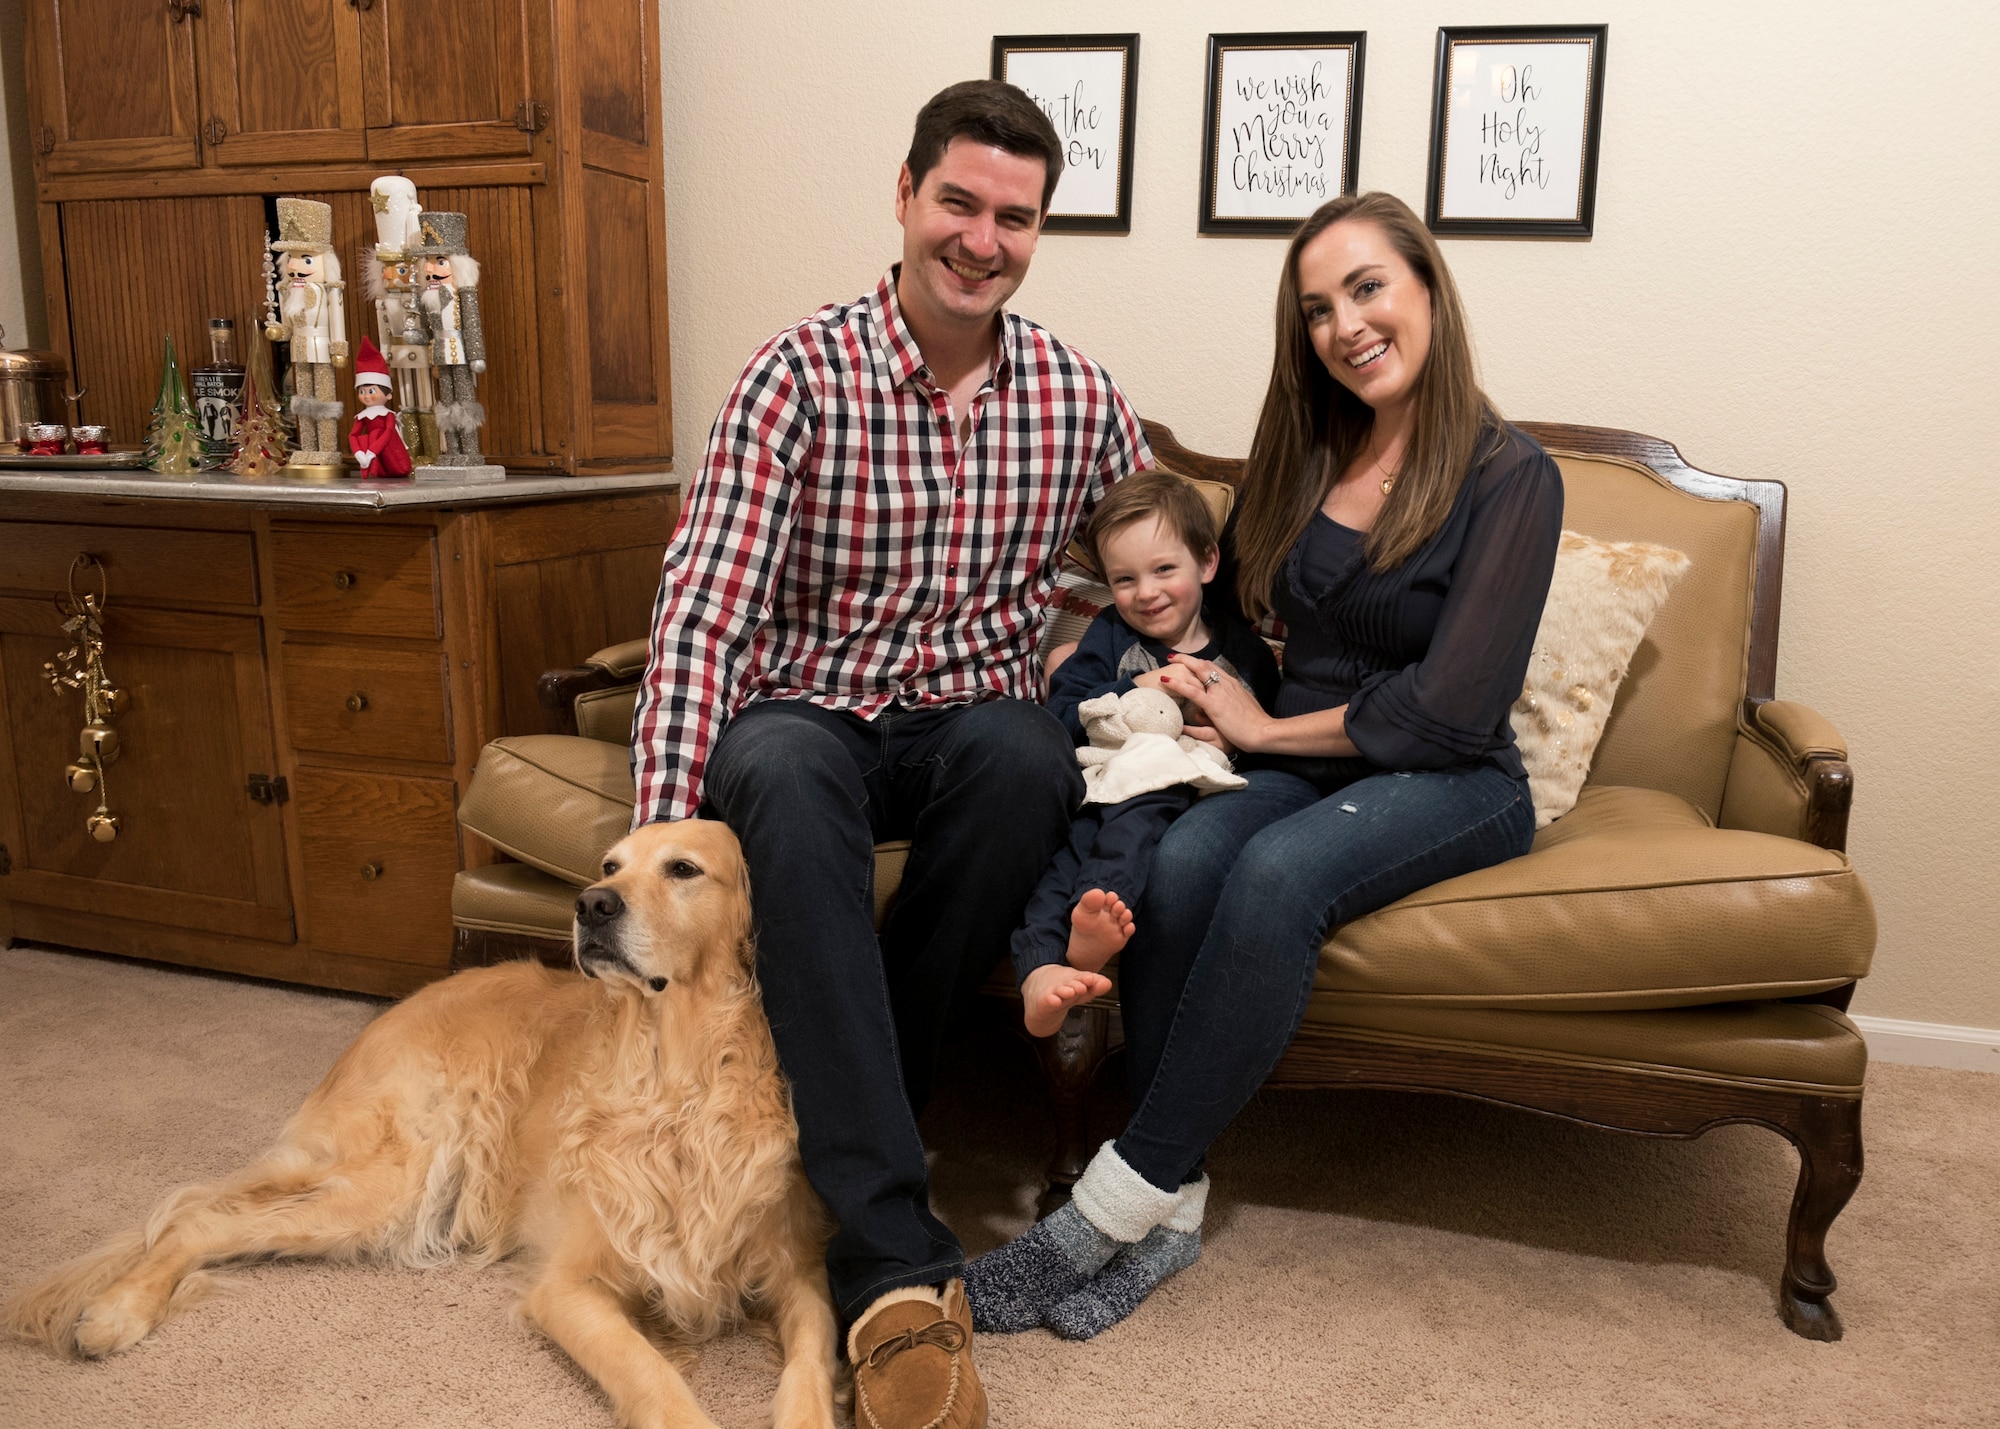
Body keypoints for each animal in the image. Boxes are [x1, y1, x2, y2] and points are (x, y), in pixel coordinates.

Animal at [3, 816, 840, 1416]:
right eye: (611, 865)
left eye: (684, 868)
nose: (590, 905)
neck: (681, 1080)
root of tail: (389, 1015)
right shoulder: (568, 1285)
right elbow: (654, 1378)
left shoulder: (797, 1271)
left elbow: (810, 1364)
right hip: (392, 1184)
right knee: (198, 1221)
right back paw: (115, 1312)